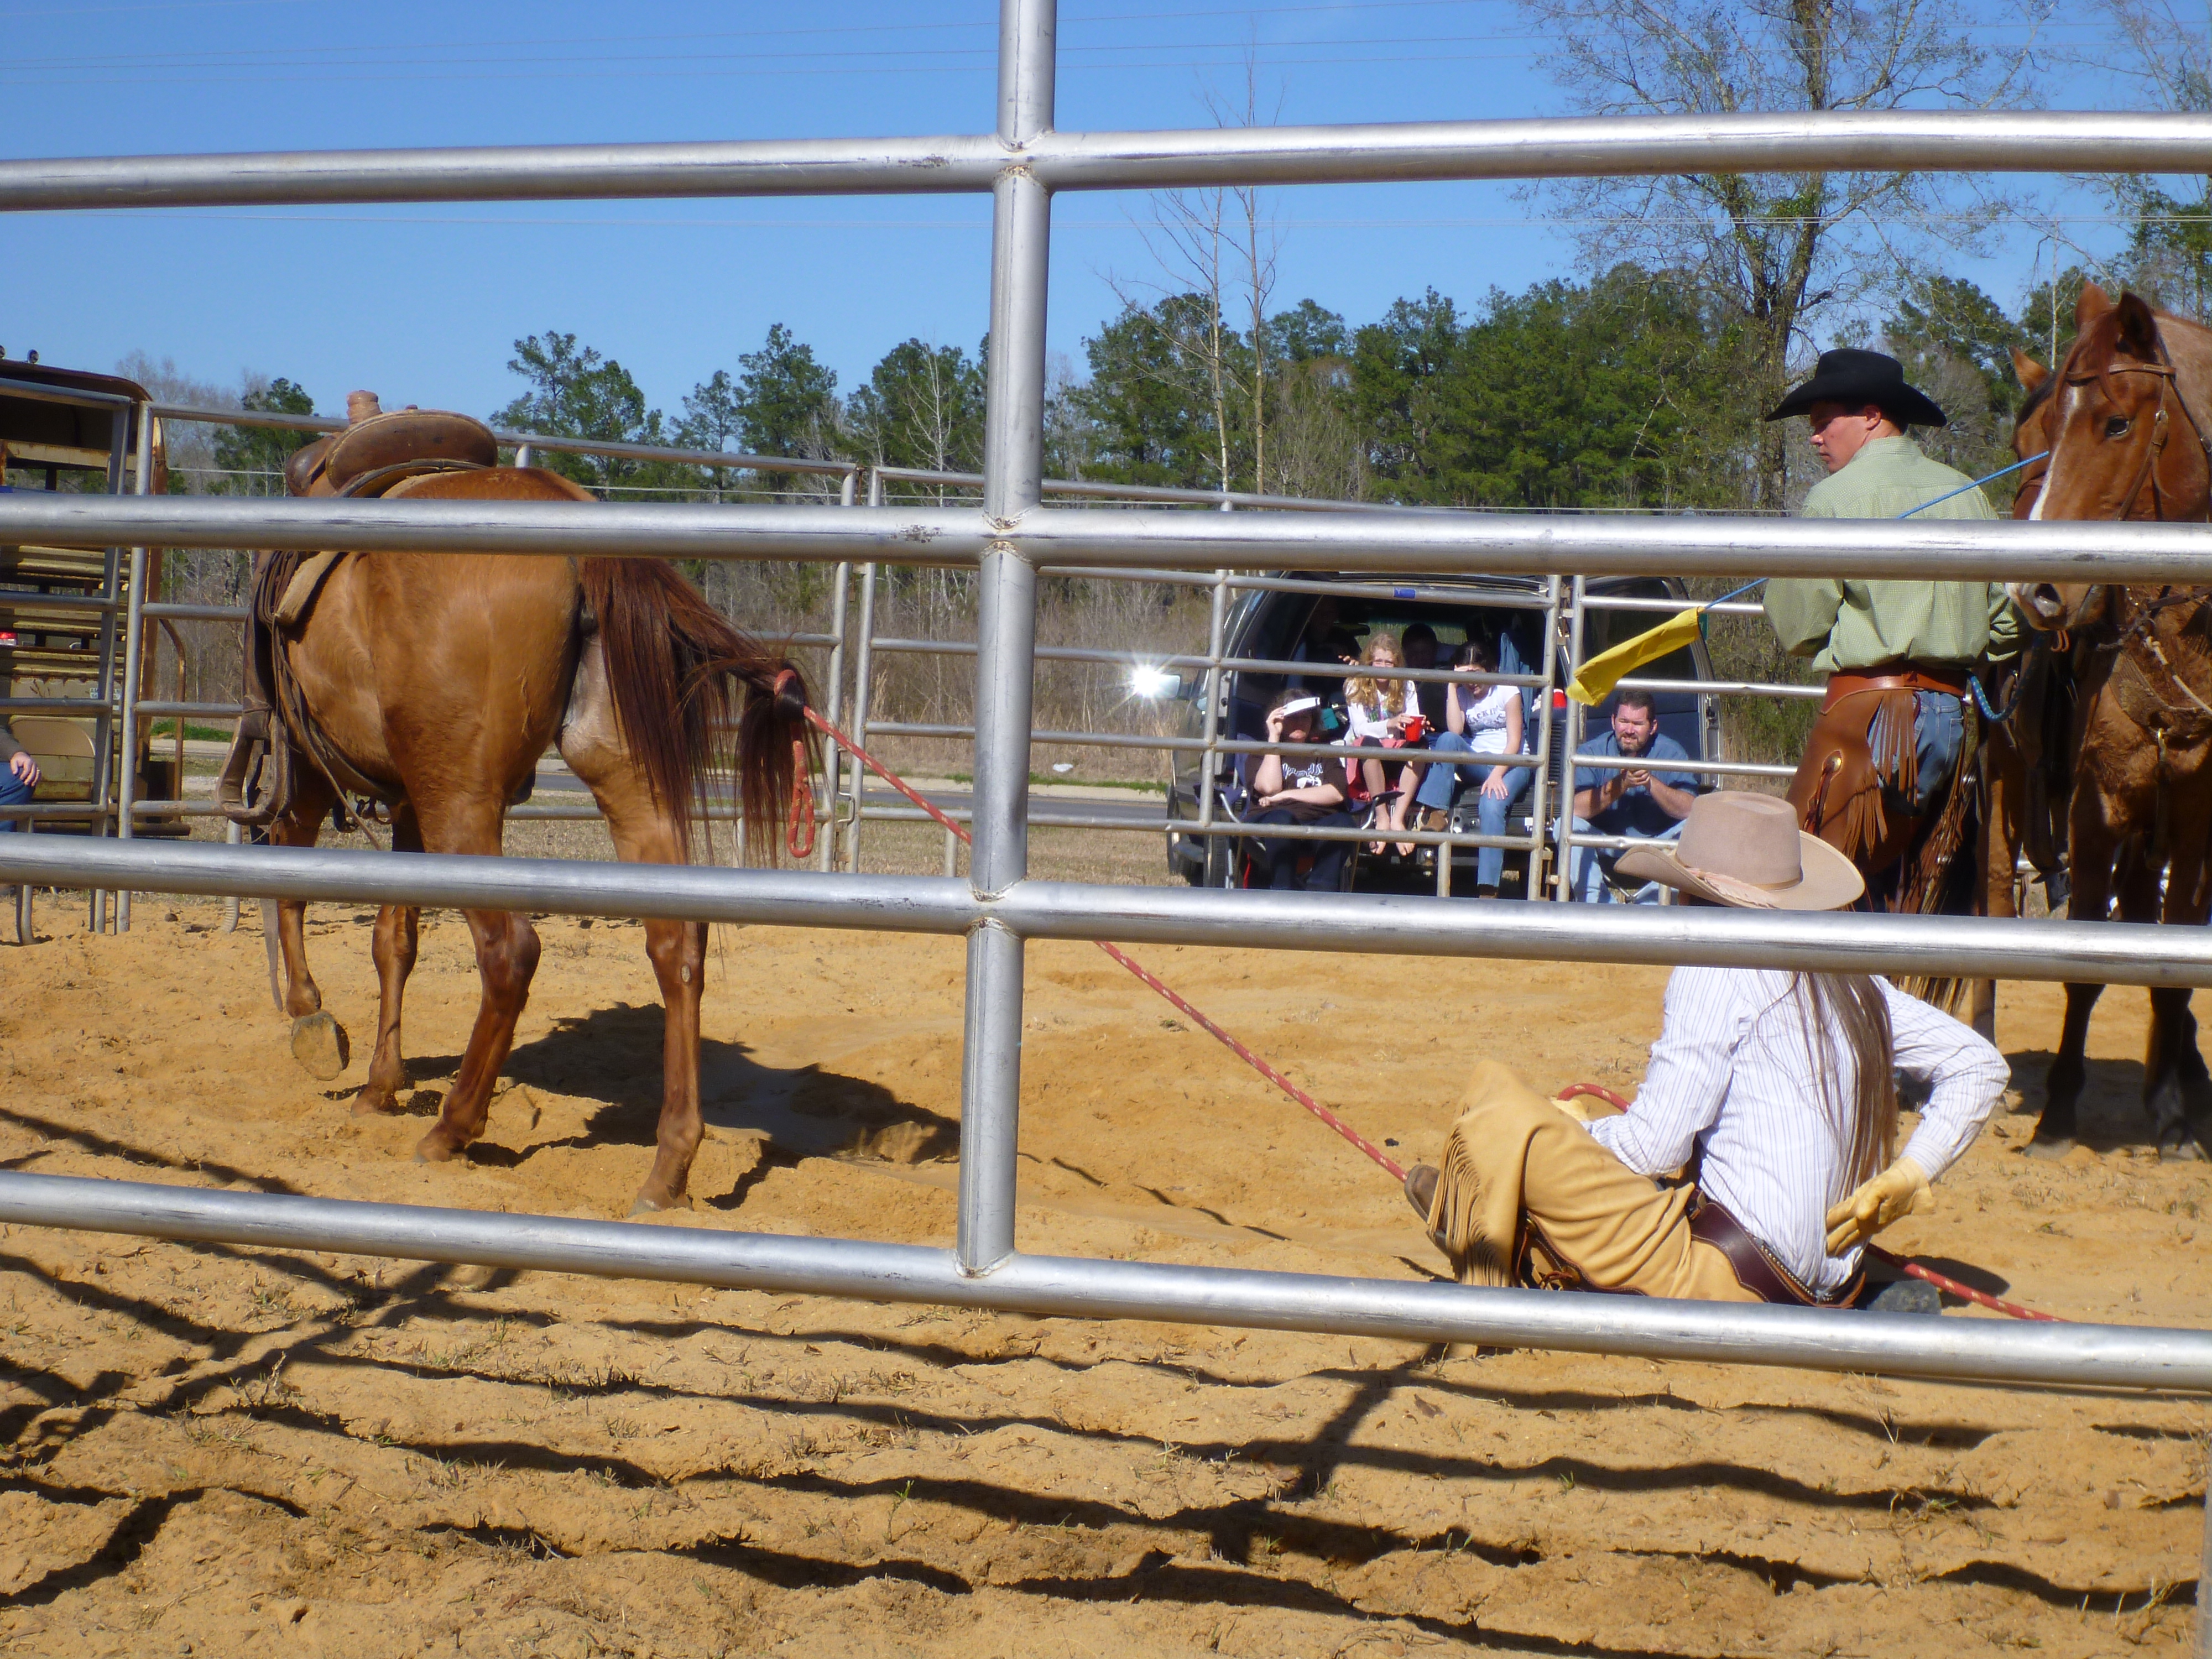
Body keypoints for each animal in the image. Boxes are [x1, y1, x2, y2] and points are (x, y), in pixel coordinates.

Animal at [254, 410, 815, 1213]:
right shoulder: (407, 803)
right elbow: (395, 940)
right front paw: (380, 1084)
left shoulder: (312, 766)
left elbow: (294, 877)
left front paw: (313, 1020)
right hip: (622, 783)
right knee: (676, 943)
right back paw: (668, 1168)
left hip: (461, 804)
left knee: (510, 951)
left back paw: (453, 1128)